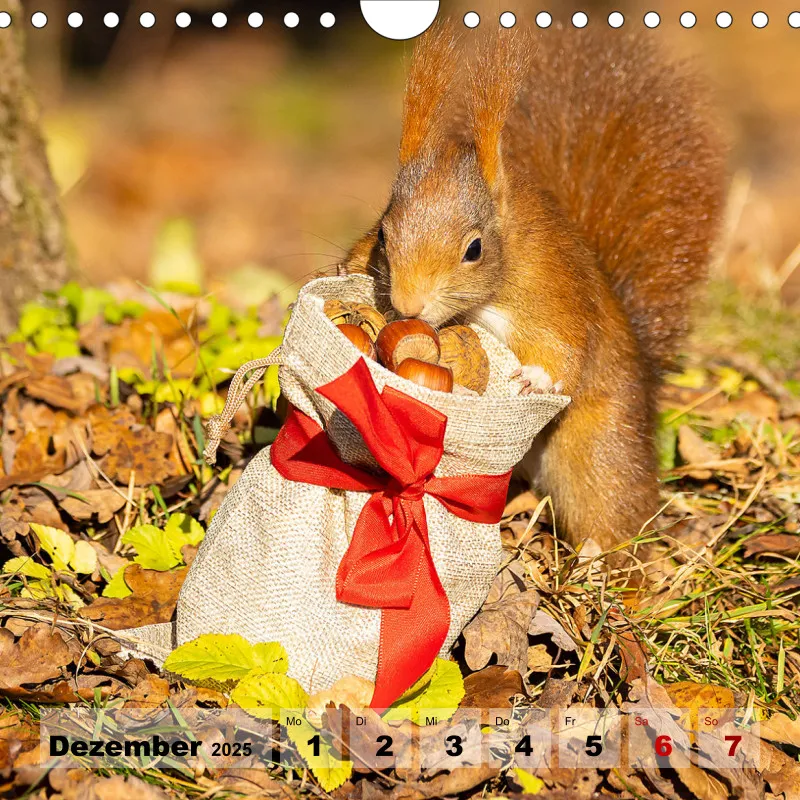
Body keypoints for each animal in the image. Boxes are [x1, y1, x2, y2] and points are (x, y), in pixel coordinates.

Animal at [342, 22, 727, 562]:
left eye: (475, 249)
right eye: (381, 233)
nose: (406, 305)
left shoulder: (554, 288)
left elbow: (566, 347)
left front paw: (536, 377)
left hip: (598, 446)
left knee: (612, 503)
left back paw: (604, 564)